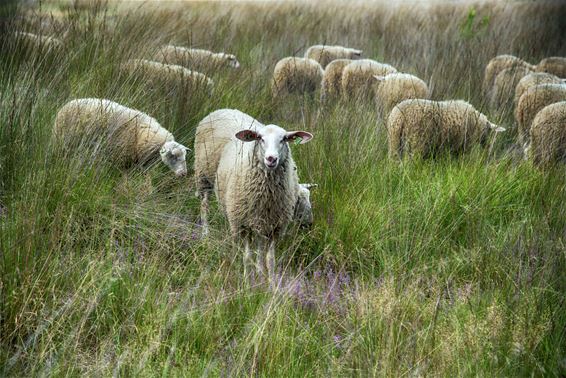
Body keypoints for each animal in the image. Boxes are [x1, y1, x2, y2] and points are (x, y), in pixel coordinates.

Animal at [54, 98, 190, 176]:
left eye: (184, 156)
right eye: (173, 156)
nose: (183, 174)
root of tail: (67, 104)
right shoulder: (120, 159)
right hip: (64, 140)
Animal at [196, 108, 316, 282]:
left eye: (284, 139)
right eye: (260, 138)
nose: (271, 159)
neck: (267, 193)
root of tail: (224, 108)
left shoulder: (273, 225)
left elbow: (269, 259)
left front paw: (269, 282)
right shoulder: (244, 222)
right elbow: (247, 256)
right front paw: (248, 282)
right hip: (204, 175)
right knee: (204, 205)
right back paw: (205, 236)